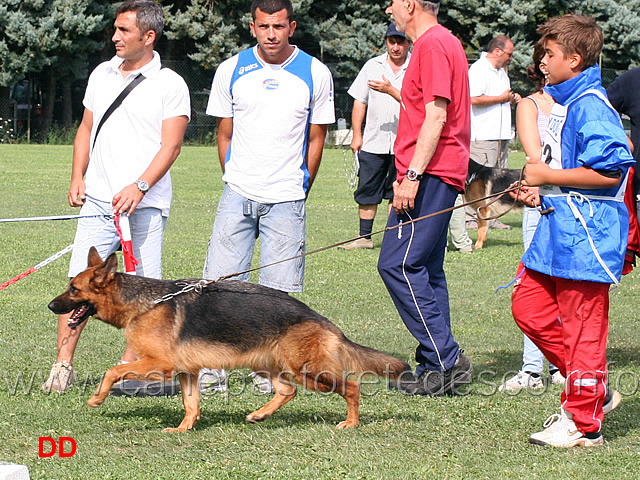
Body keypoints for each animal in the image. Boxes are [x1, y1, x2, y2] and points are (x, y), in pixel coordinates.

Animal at [48, 248, 410, 432]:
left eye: (73, 290)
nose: (51, 306)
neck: (144, 302)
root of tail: (322, 320)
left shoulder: (159, 366)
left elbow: (113, 371)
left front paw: (97, 398)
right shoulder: (187, 372)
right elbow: (191, 404)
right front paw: (184, 429)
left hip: (309, 372)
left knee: (352, 387)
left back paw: (350, 423)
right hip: (270, 366)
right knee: (287, 391)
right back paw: (260, 416)